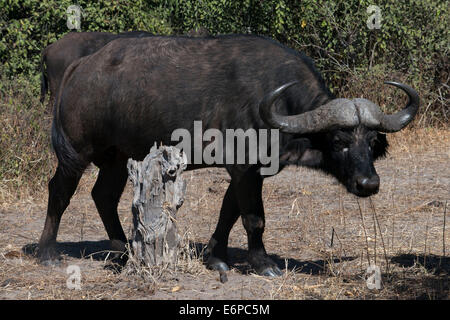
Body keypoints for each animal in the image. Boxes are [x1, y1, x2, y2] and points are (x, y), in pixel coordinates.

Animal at [37, 34, 418, 276]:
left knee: (103, 195)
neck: (277, 105)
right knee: (59, 191)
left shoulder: (250, 171)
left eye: (372, 142)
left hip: (118, 158)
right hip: (75, 153)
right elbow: (254, 218)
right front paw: (264, 264)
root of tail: (79, 69)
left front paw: (216, 258)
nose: (368, 184)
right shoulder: (245, 168)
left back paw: (122, 252)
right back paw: (47, 252)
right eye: (339, 140)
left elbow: (229, 212)